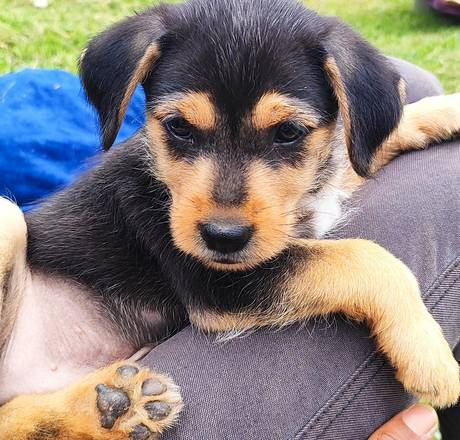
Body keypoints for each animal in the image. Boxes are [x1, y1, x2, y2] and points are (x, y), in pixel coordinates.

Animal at [1, 0, 460, 438]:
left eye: (289, 132)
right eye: (179, 126)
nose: (223, 238)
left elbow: (349, 155)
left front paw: (446, 109)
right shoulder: (217, 284)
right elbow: (363, 257)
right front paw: (429, 354)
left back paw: (115, 405)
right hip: (9, 217)